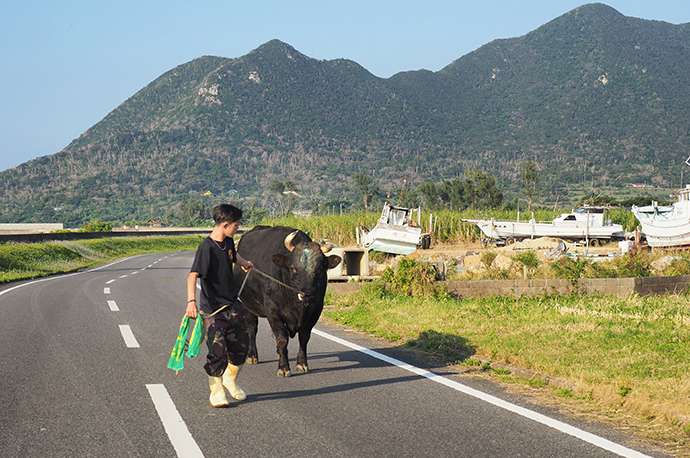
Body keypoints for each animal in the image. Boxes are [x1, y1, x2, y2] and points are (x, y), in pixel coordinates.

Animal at [234, 225, 342, 376]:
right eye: (293, 268)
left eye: (320, 268)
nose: (307, 293)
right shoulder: (273, 313)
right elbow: (282, 339)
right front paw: (283, 367)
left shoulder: (315, 311)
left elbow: (304, 338)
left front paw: (302, 364)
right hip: (247, 306)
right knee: (251, 329)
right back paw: (252, 356)